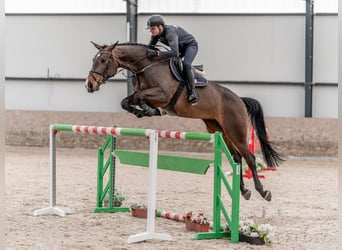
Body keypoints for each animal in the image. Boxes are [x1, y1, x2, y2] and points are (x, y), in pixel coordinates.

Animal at [85, 41, 284, 201]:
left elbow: (140, 97)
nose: (89, 85)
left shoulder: (162, 95)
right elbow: (126, 101)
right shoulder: (140, 93)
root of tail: (240, 100)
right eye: (93, 59)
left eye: (103, 60)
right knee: (236, 157)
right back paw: (243, 191)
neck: (146, 66)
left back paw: (263, 192)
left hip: (236, 131)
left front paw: (147, 110)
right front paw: (141, 111)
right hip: (219, 130)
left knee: (249, 157)